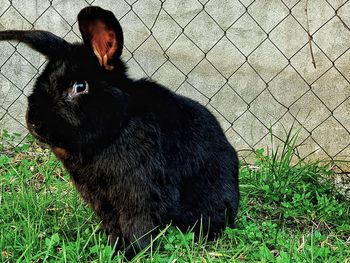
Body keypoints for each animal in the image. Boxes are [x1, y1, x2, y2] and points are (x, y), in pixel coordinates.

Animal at [0, 5, 238, 258]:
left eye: (80, 87)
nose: (33, 122)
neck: (118, 126)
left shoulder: (141, 196)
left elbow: (138, 229)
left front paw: (134, 254)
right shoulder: (102, 201)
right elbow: (114, 226)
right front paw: (112, 249)